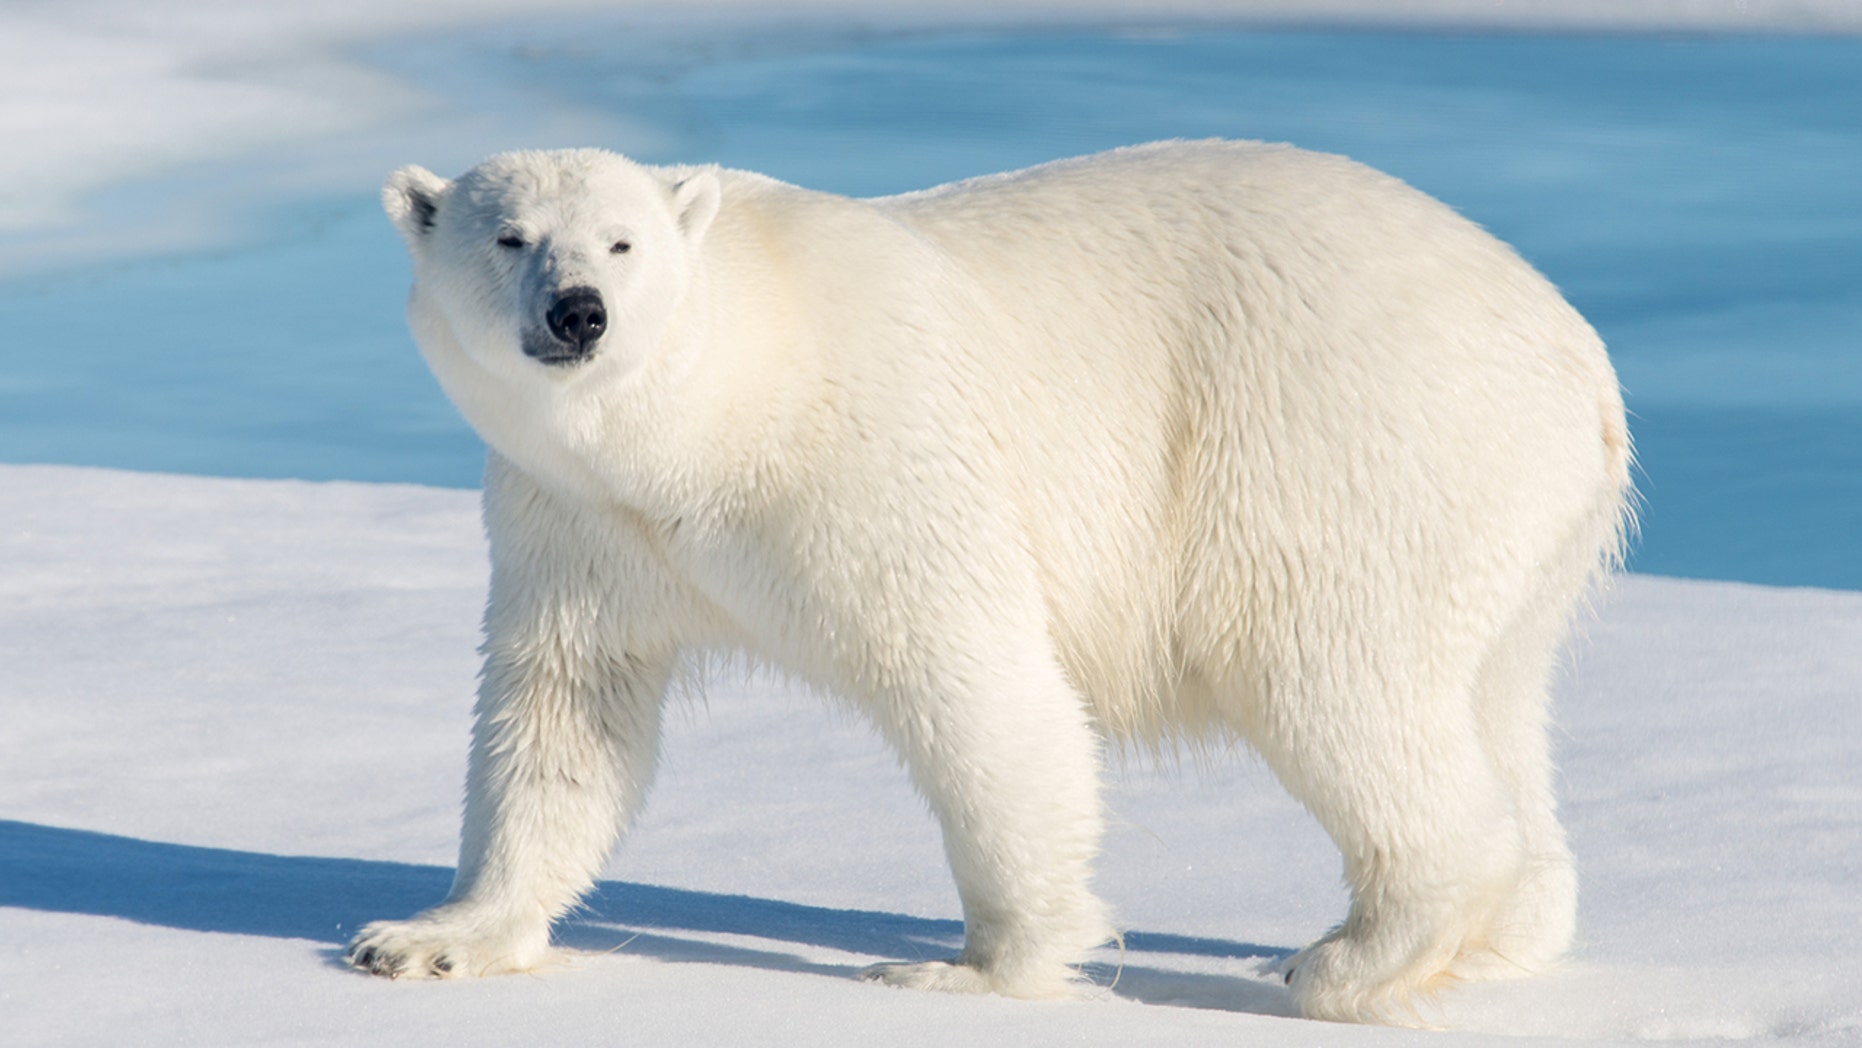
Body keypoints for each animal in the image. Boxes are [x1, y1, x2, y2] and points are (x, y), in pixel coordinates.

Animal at [346, 141, 1631, 1027]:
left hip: (1341, 446)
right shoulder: (578, 522)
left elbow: (975, 684)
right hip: (1512, 523)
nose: (579, 313)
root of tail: (1578, 354)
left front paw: (967, 968)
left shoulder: (872, 458)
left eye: (622, 242)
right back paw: (1501, 935)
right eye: (508, 236)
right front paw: (426, 938)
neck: (713, 415)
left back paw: (1348, 955)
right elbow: (564, 712)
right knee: (1491, 696)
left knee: (1333, 678)